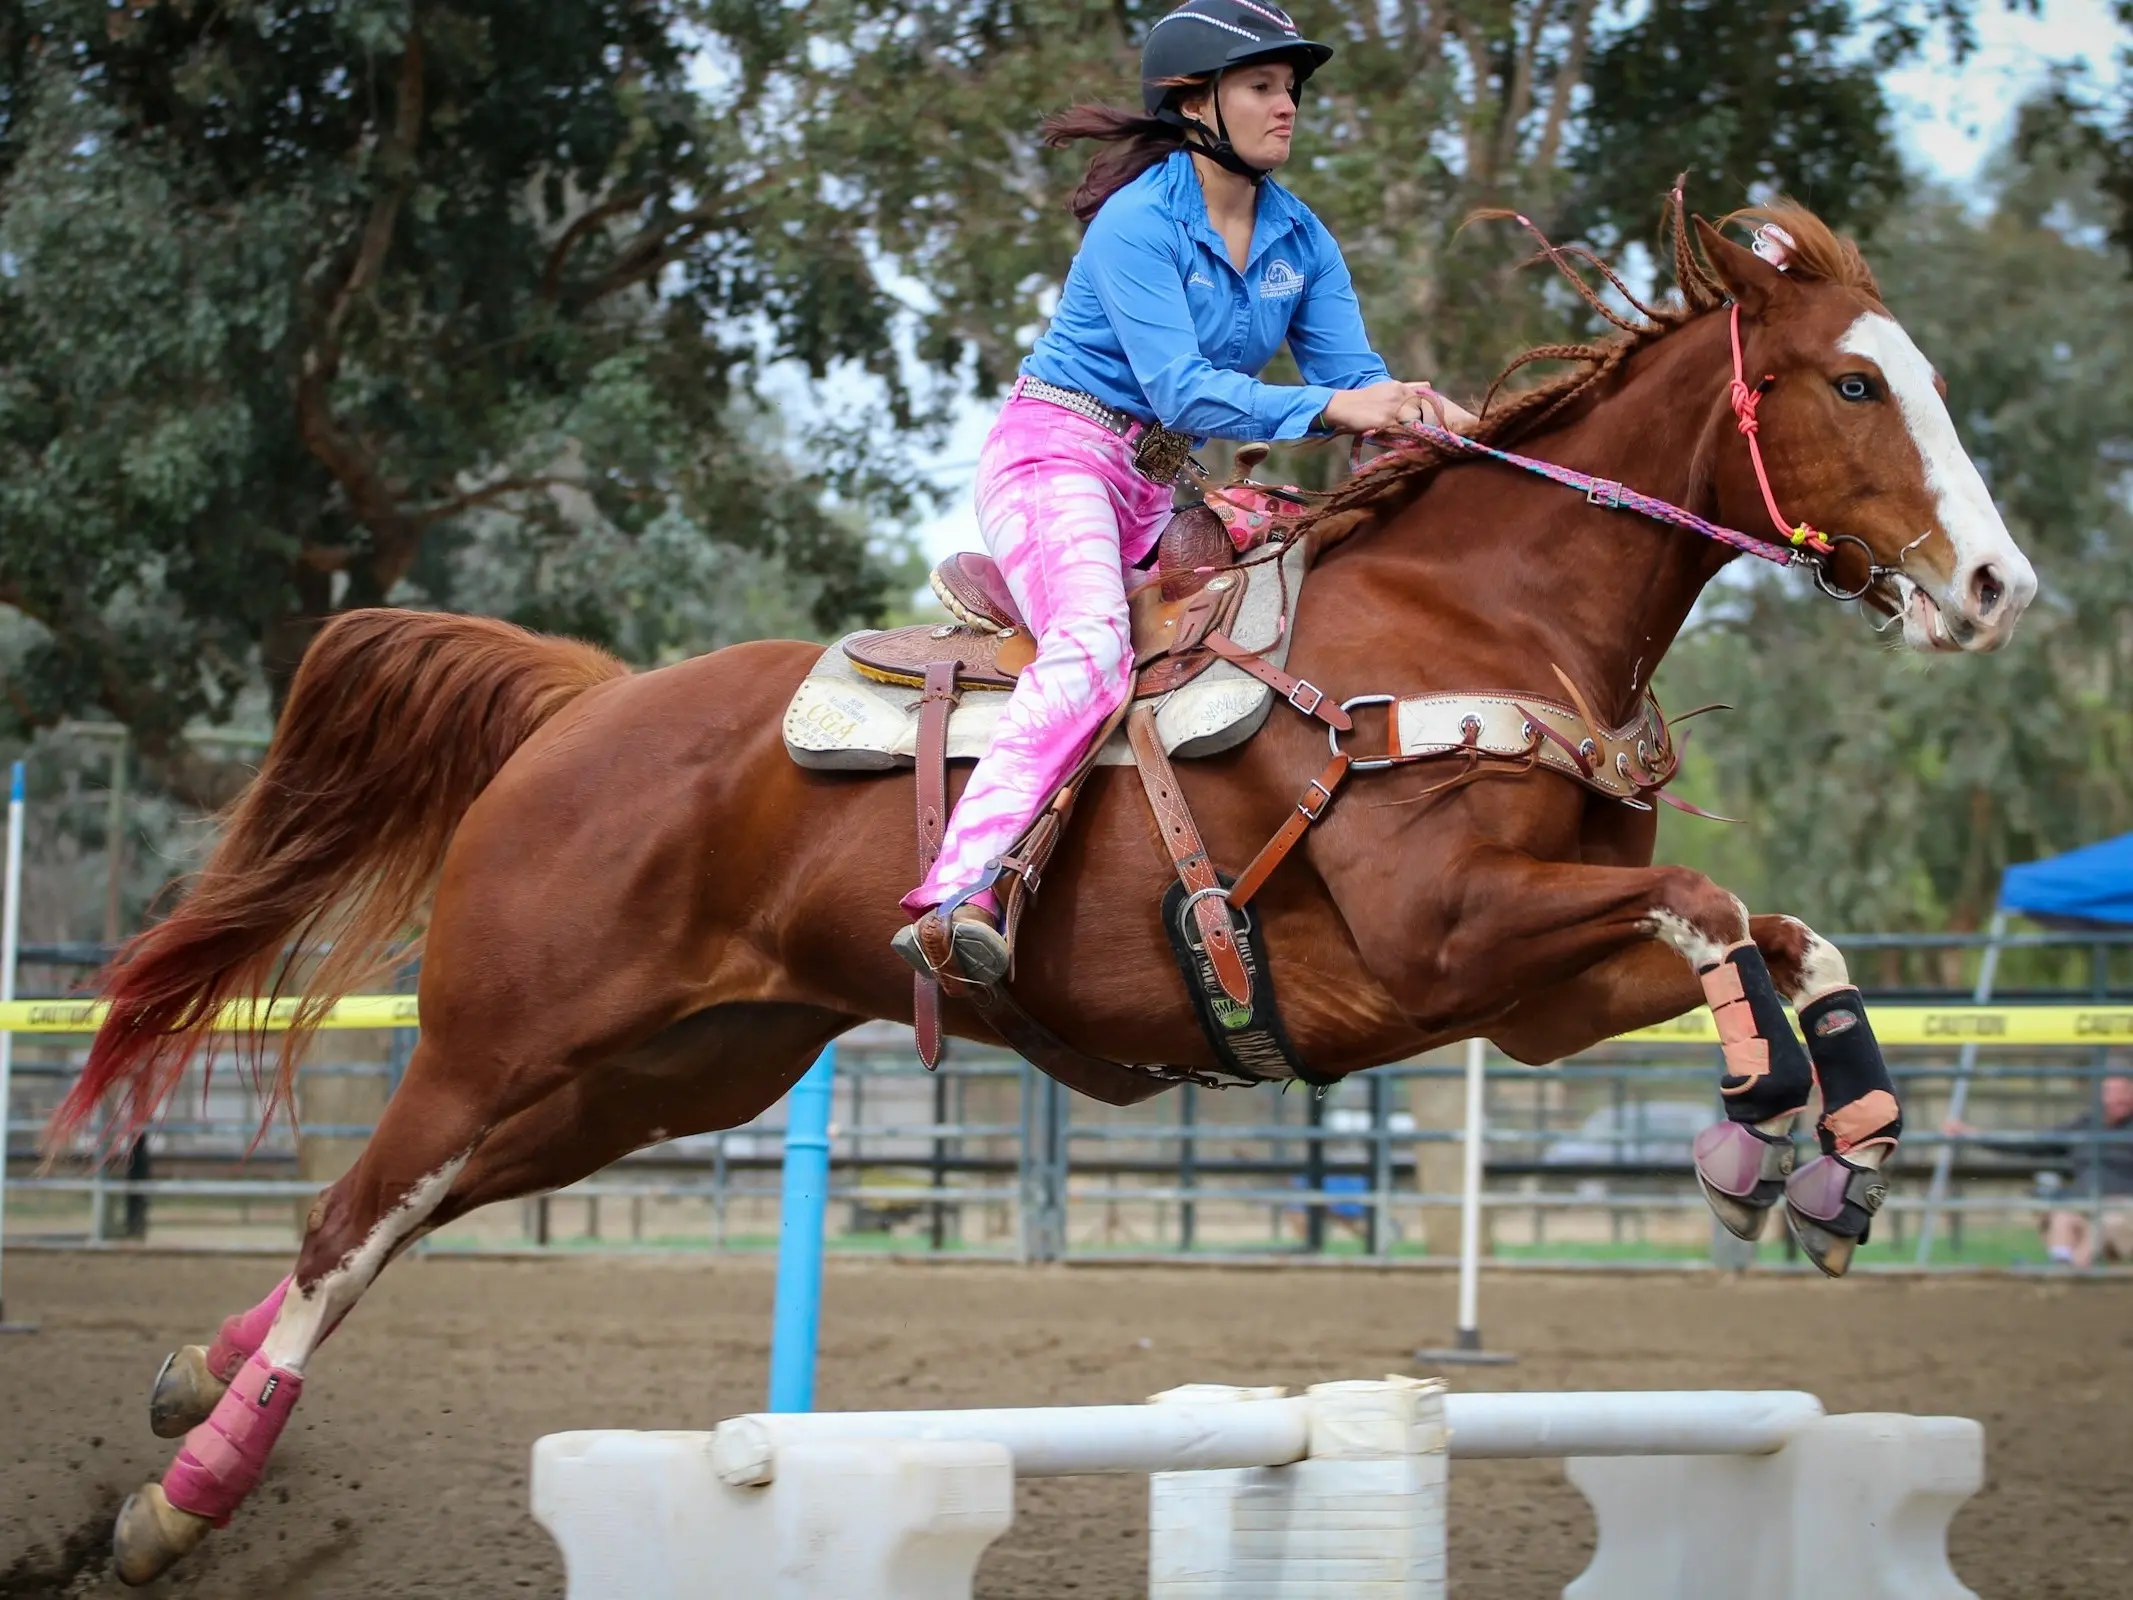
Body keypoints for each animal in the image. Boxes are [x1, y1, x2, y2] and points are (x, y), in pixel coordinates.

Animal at [62, 197, 2030, 1578]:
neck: (1475, 622)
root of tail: (583, 703)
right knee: (347, 1223)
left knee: (399, 1219)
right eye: (1854, 380)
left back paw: (182, 1387)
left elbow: (1781, 930)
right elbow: (1712, 908)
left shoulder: (1531, 1000)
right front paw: (1756, 1131)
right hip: (502, 1036)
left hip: (661, 1074)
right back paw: (173, 1506)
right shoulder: (1445, 943)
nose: (1997, 587)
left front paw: (1842, 1153)